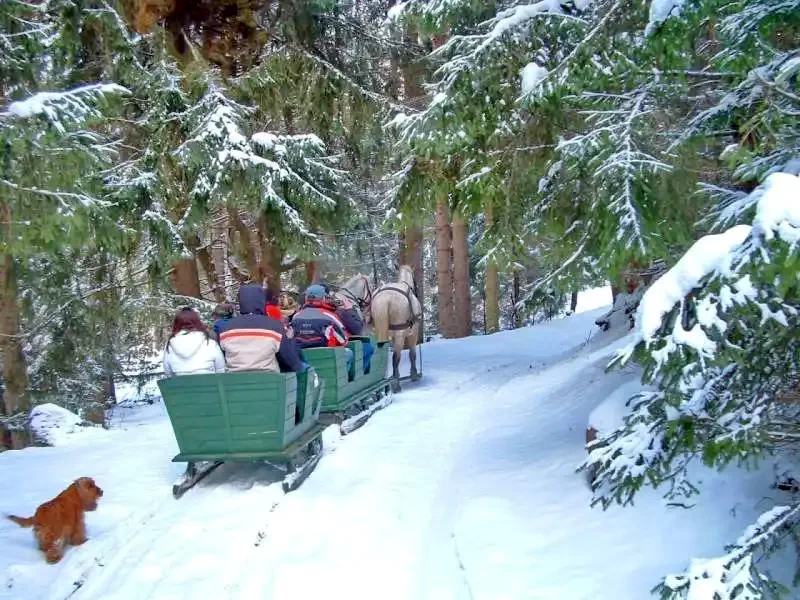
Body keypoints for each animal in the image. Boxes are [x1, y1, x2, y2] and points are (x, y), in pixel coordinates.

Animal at [368, 264, 422, 392]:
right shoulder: (413, 333)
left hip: (377, 332)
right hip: (400, 334)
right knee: (395, 358)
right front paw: (413, 374)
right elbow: (412, 354)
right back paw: (396, 384)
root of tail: (384, 299)